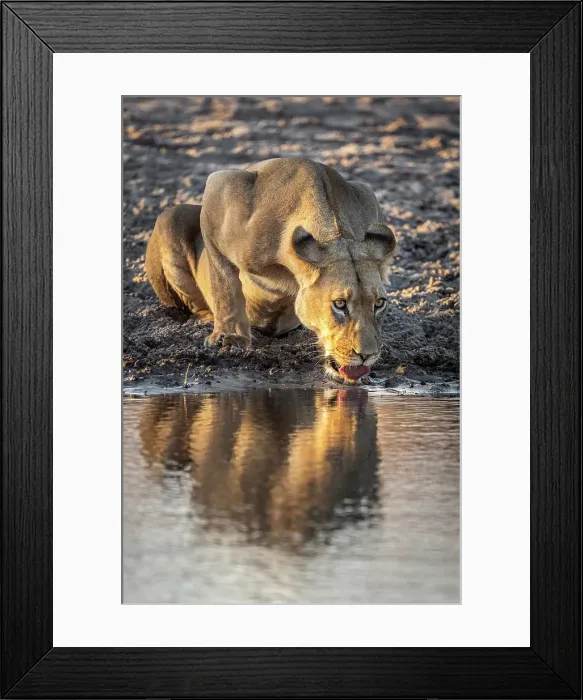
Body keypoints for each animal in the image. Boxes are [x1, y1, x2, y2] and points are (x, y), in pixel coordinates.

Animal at [145, 157, 396, 383]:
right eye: (340, 304)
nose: (367, 356)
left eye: (379, 303)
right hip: (171, 216)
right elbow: (224, 286)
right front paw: (230, 337)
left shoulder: (368, 195)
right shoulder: (219, 189)